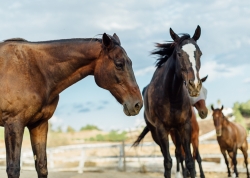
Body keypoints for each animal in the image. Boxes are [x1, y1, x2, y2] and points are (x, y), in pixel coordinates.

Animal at [0, 33, 143, 178]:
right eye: (119, 64)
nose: (137, 104)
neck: (35, 70)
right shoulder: (14, 124)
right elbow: (13, 170)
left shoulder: (39, 124)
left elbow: (42, 166)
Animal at [134, 25, 202, 178]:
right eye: (179, 53)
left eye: (200, 53)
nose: (194, 85)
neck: (172, 94)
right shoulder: (161, 129)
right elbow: (167, 163)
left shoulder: (185, 126)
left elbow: (190, 161)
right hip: (156, 134)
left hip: (175, 131)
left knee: (179, 153)